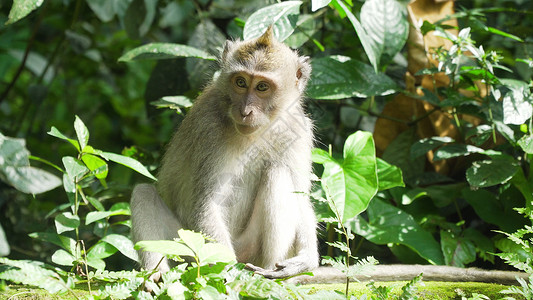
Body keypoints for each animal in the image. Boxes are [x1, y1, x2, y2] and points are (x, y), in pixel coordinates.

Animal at [131, 25, 318, 278]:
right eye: (240, 82)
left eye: (262, 87)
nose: (245, 111)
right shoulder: (209, 128)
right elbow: (206, 203)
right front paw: (227, 271)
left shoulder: (298, 128)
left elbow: (301, 196)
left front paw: (307, 259)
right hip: (187, 248)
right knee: (143, 193)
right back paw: (155, 275)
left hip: (249, 249)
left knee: (277, 172)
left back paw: (269, 271)